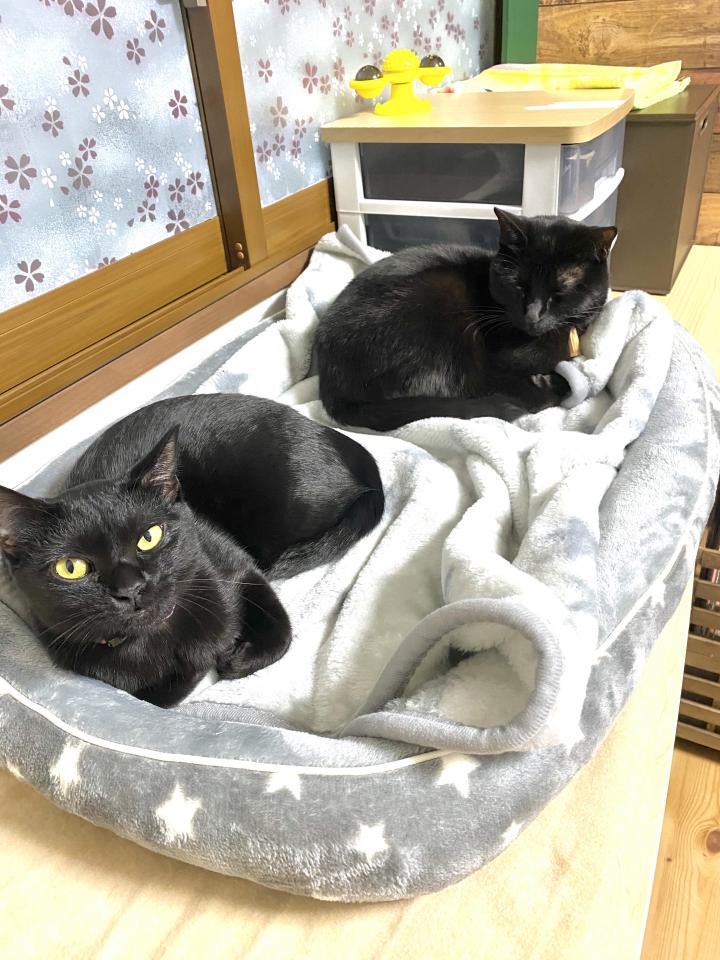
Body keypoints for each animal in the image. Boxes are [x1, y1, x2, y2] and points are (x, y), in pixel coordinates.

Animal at [0, 394, 385, 706]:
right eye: (71, 568)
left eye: (149, 536)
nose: (131, 589)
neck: (159, 638)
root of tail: (332, 434)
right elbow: (167, 691)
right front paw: (207, 658)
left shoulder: (238, 565)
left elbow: (282, 627)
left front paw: (236, 658)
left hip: (291, 507)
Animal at [314, 208, 617, 431]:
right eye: (518, 285)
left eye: (559, 292)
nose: (532, 315)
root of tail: (331, 388)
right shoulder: (497, 363)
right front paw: (543, 384)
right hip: (443, 300)